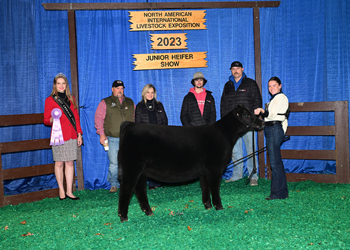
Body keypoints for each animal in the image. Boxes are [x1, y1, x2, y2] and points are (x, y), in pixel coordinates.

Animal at [117, 104, 262, 222]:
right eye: (247, 115)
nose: (262, 122)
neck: (225, 134)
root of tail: (130, 124)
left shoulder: (204, 171)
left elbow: (205, 187)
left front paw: (208, 206)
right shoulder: (215, 168)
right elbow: (214, 187)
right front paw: (219, 207)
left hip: (142, 171)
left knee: (140, 189)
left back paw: (149, 212)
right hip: (132, 168)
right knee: (126, 189)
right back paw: (123, 217)